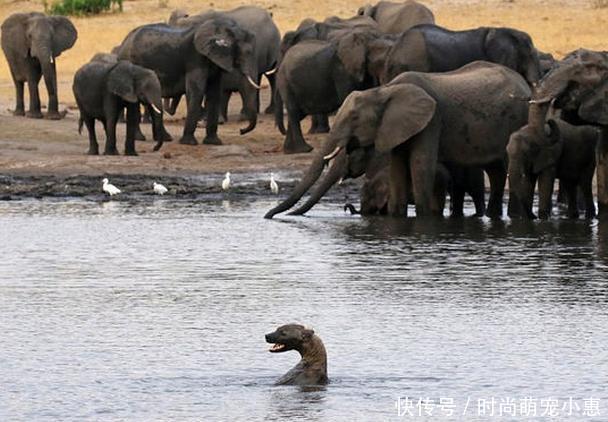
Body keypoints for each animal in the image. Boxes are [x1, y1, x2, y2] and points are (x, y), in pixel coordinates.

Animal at [117, 16, 258, 146]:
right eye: (246, 53)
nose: (241, 130)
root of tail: (124, 42)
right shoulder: (195, 59)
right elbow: (197, 92)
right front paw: (189, 143)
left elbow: (214, 94)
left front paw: (214, 142)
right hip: (130, 63)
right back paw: (140, 138)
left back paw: (164, 138)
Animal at [264, 62, 528, 221]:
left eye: (354, 118)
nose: (268, 216)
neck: (385, 90)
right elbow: (397, 169)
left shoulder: (431, 121)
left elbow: (420, 166)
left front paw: (423, 221)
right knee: (496, 172)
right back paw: (494, 217)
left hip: (517, 118)